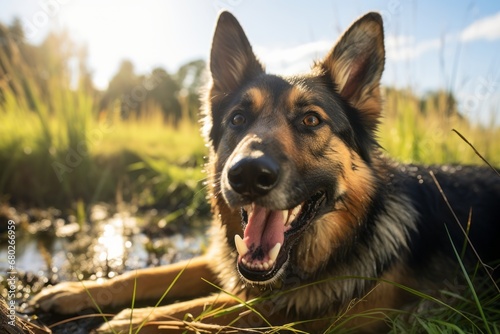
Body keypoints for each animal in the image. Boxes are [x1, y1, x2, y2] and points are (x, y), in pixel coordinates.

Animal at [31, 11, 500, 334]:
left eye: (310, 120)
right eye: (238, 119)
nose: (248, 175)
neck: (350, 234)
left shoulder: (303, 317)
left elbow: (206, 309)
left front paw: (131, 320)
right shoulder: (226, 260)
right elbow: (149, 274)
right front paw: (74, 292)